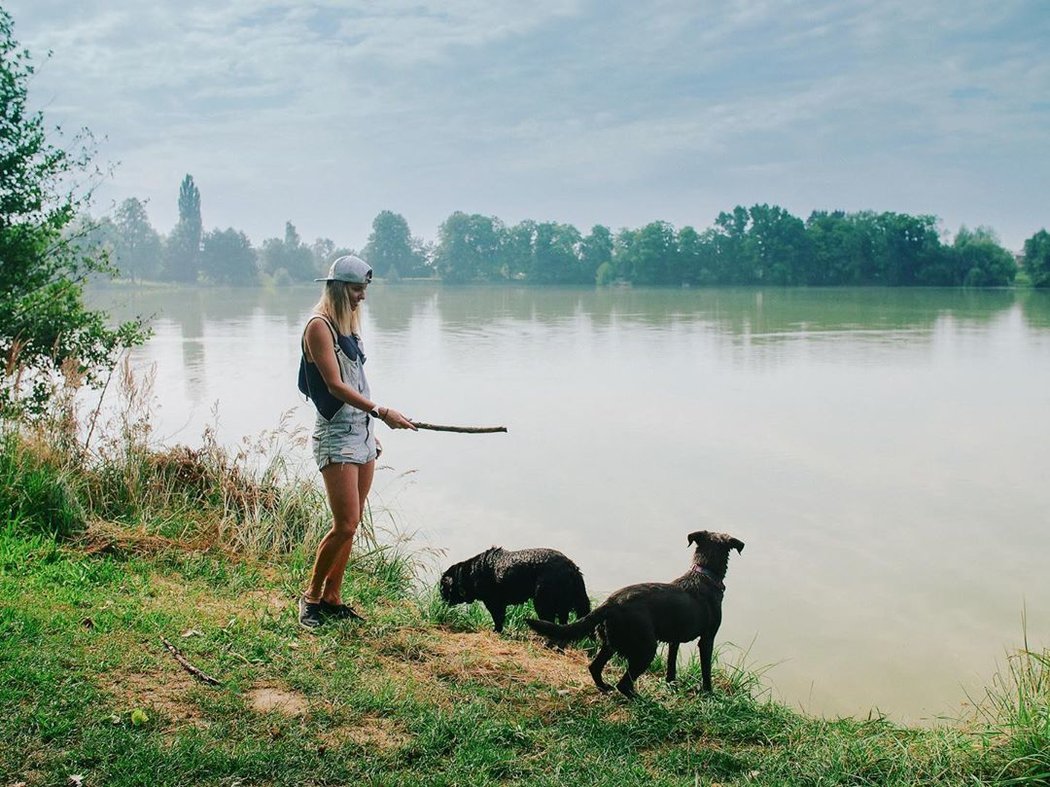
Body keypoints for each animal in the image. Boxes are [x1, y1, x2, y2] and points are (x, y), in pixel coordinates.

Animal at [438, 549, 592, 633]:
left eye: (442, 588)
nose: (440, 599)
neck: (471, 573)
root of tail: (572, 567)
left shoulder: (493, 602)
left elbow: (498, 619)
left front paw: (496, 631)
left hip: (542, 602)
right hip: (561, 605)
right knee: (563, 624)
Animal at [525, 533, 747, 700]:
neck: (704, 574)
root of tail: (610, 603)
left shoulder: (674, 640)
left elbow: (671, 666)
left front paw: (672, 685)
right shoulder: (707, 638)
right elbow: (706, 669)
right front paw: (708, 693)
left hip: (611, 643)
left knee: (595, 668)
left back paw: (604, 687)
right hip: (646, 648)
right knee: (623, 684)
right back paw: (639, 699)